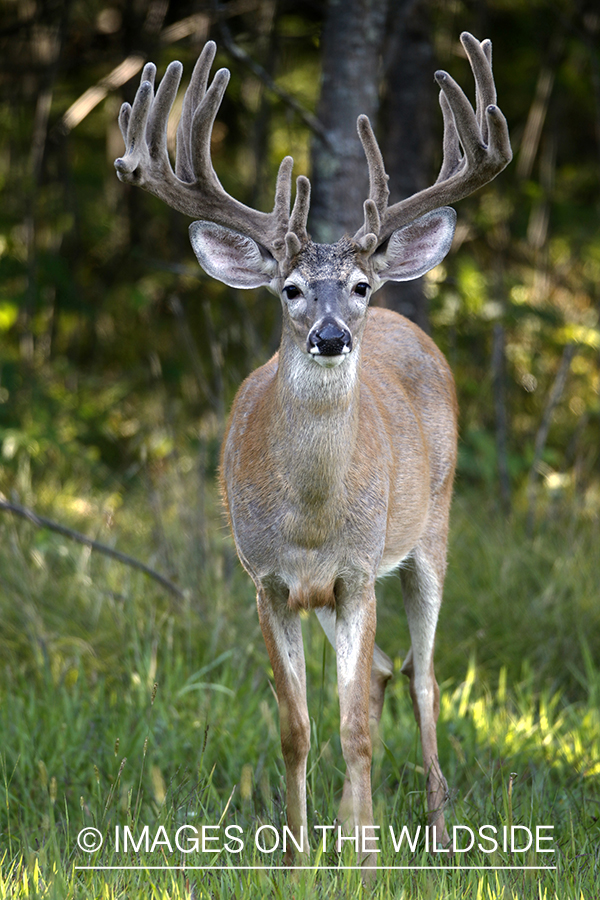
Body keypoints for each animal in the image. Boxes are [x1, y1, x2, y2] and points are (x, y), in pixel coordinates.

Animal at [116, 33, 510, 872]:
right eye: (290, 289)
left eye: (359, 284)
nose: (332, 336)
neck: (309, 520)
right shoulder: (267, 580)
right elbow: (298, 728)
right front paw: (298, 859)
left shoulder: (358, 569)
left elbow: (353, 728)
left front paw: (365, 866)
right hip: (332, 593)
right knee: (385, 672)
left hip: (432, 532)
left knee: (423, 676)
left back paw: (435, 833)